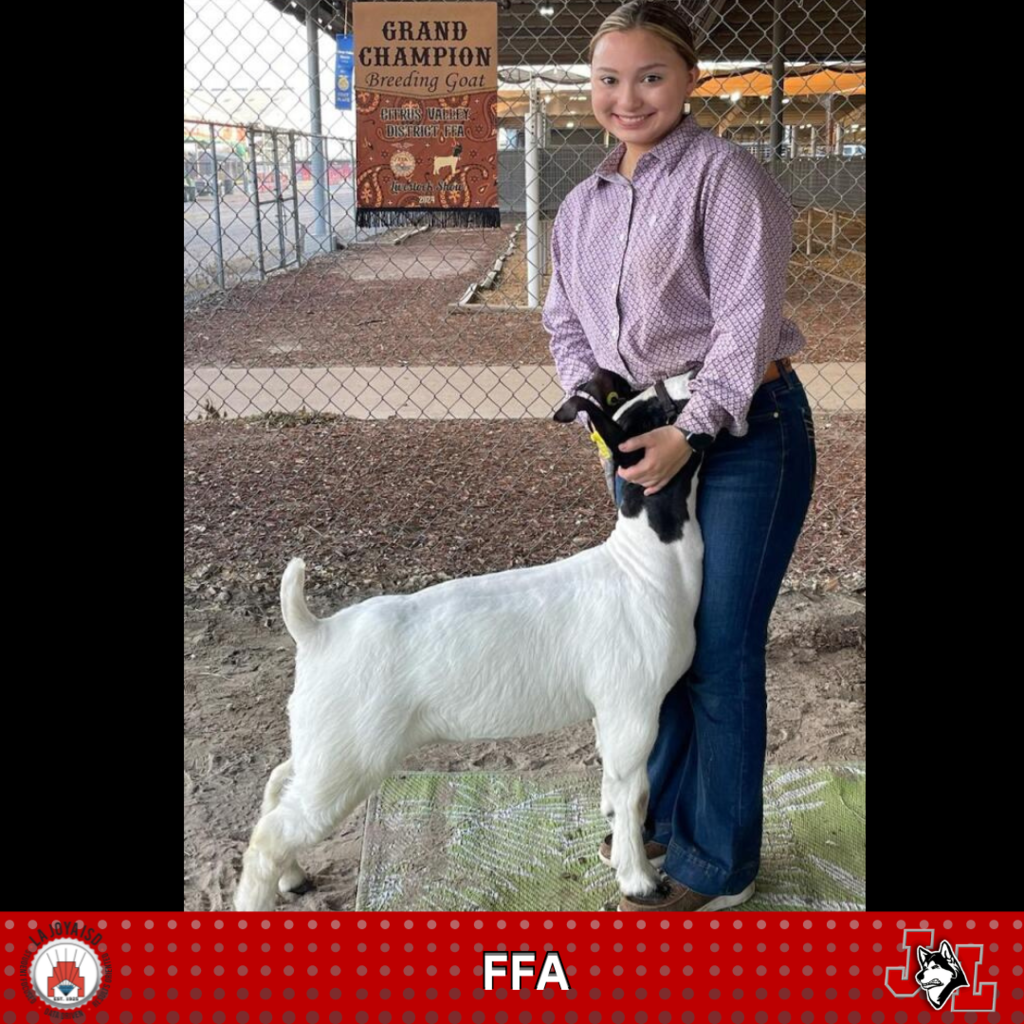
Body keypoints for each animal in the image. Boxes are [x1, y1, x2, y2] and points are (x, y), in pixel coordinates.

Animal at [234, 368, 704, 913]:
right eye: (658, 413)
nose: (695, 375)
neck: (643, 564)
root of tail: (317, 632)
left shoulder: (606, 713)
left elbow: (614, 787)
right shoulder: (632, 707)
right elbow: (633, 793)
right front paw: (639, 879)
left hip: (326, 743)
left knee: (279, 781)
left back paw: (293, 878)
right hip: (346, 759)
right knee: (272, 834)